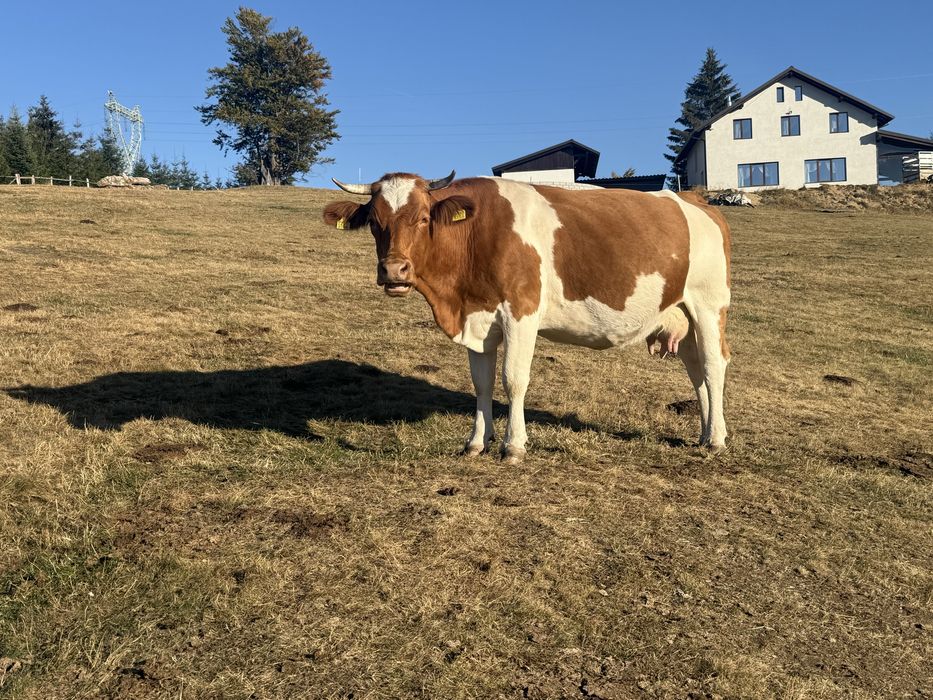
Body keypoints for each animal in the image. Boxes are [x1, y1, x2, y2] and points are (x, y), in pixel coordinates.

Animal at [323, 172, 731, 463]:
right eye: (374, 222)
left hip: (709, 305)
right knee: (697, 371)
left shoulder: (521, 312)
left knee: (714, 365)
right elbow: (482, 383)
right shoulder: (478, 318)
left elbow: (513, 380)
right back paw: (704, 432)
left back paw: (716, 439)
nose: (394, 271)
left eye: (424, 218)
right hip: (682, 314)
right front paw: (476, 442)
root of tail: (694, 200)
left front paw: (513, 446)